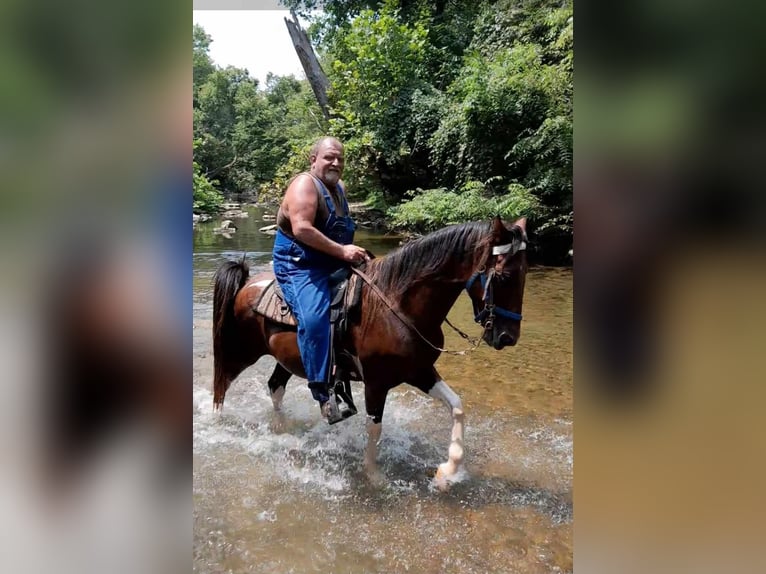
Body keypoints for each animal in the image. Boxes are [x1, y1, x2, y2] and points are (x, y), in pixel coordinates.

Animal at [213, 218, 532, 484]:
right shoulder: (376, 383)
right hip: (241, 352)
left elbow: (457, 406)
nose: (508, 337)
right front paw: (374, 476)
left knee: (275, 386)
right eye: (503, 277)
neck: (397, 305)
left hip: (289, 359)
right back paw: (217, 425)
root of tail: (247, 282)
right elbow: (374, 427)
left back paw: (282, 428)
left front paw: (448, 472)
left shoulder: (420, 371)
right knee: (222, 385)